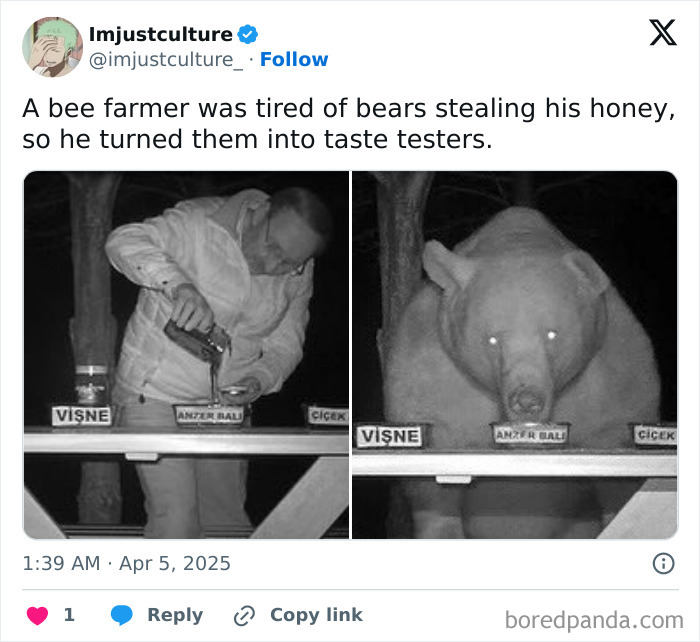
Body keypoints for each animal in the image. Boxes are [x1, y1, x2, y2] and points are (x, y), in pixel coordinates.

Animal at [384, 206, 660, 538]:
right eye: (492, 339)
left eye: (552, 334)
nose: (527, 400)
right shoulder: (432, 371)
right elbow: (434, 487)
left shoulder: (613, 376)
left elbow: (618, 476)